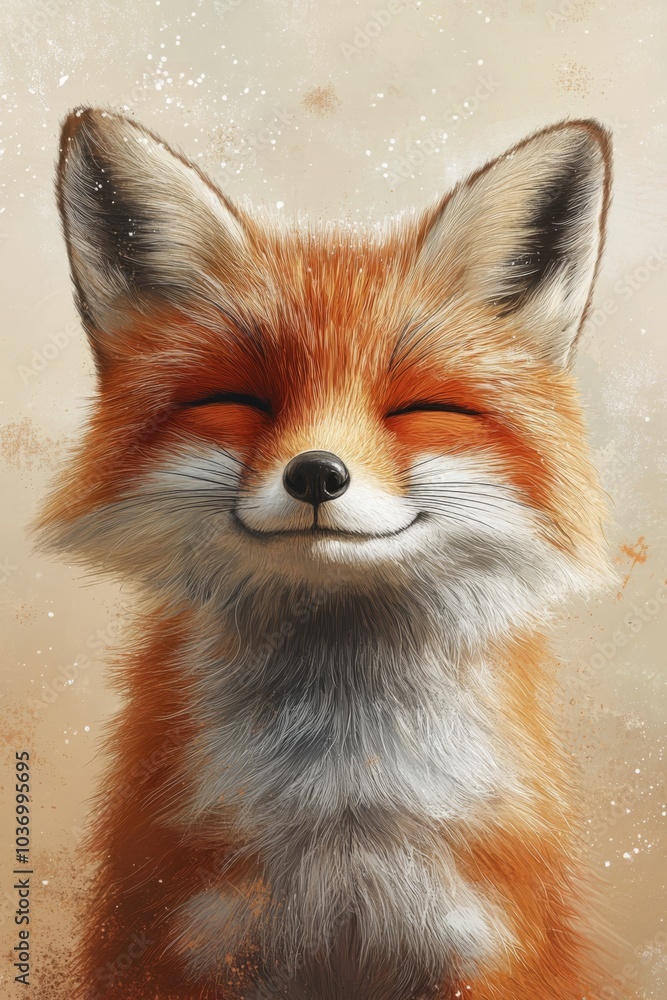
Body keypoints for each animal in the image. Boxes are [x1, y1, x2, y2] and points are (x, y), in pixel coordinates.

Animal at [38, 107, 613, 999]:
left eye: (420, 408)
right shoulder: (185, 942)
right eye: (237, 400)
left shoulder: (485, 947)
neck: (343, 807)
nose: (316, 473)